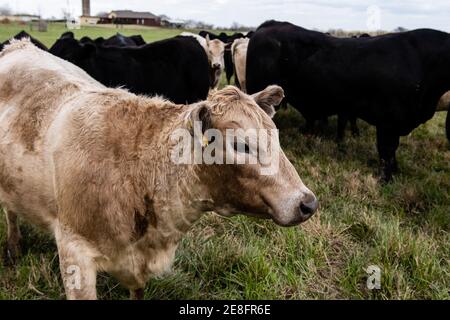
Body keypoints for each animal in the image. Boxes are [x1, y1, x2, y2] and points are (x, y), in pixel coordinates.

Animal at [248, 20, 450, 181]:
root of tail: (271, 25)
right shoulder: (388, 123)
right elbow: (387, 151)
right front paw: (385, 179)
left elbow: (392, 153)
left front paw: (396, 171)